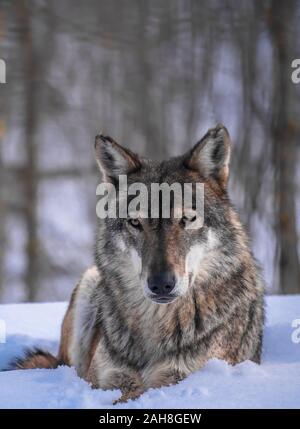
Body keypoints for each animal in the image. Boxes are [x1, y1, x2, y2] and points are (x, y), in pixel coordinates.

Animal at [11, 123, 264, 402]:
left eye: (187, 219)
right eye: (135, 223)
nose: (161, 284)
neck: (158, 326)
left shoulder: (177, 376)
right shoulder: (107, 376)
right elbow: (119, 392)